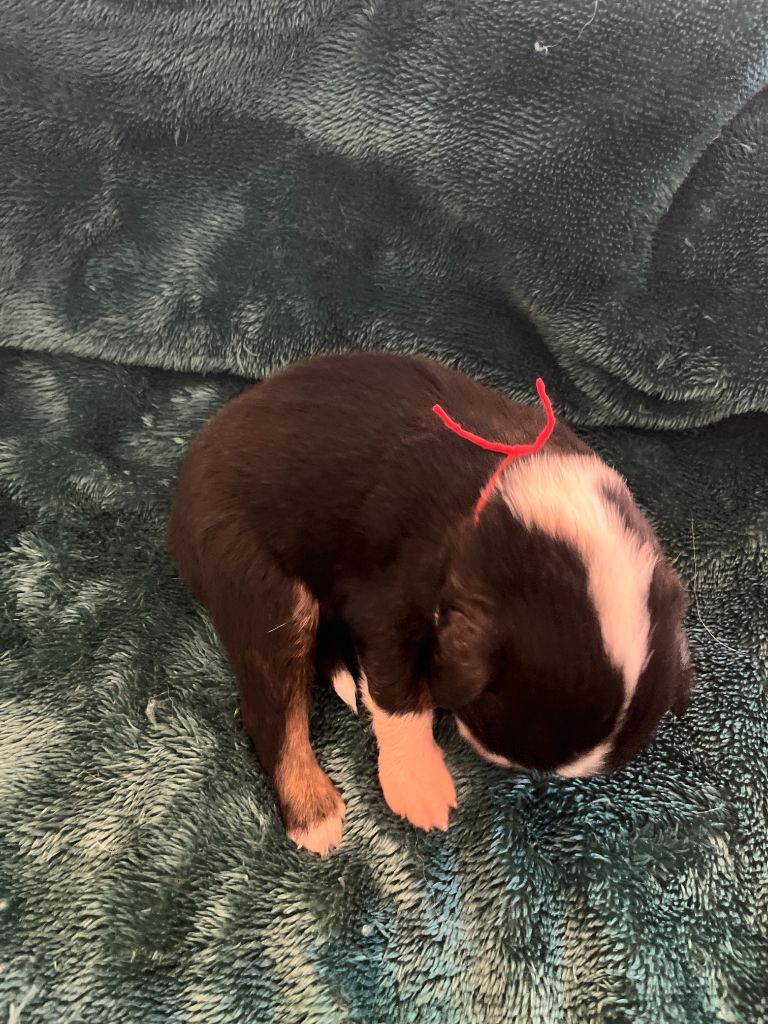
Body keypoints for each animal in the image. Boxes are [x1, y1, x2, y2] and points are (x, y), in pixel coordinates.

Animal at [167, 351, 693, 855]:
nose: (487, 751)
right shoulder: (388, 601)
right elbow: (399, 697)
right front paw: (418, 782)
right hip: (259, 583)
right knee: (272, 715)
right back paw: (313, 813)